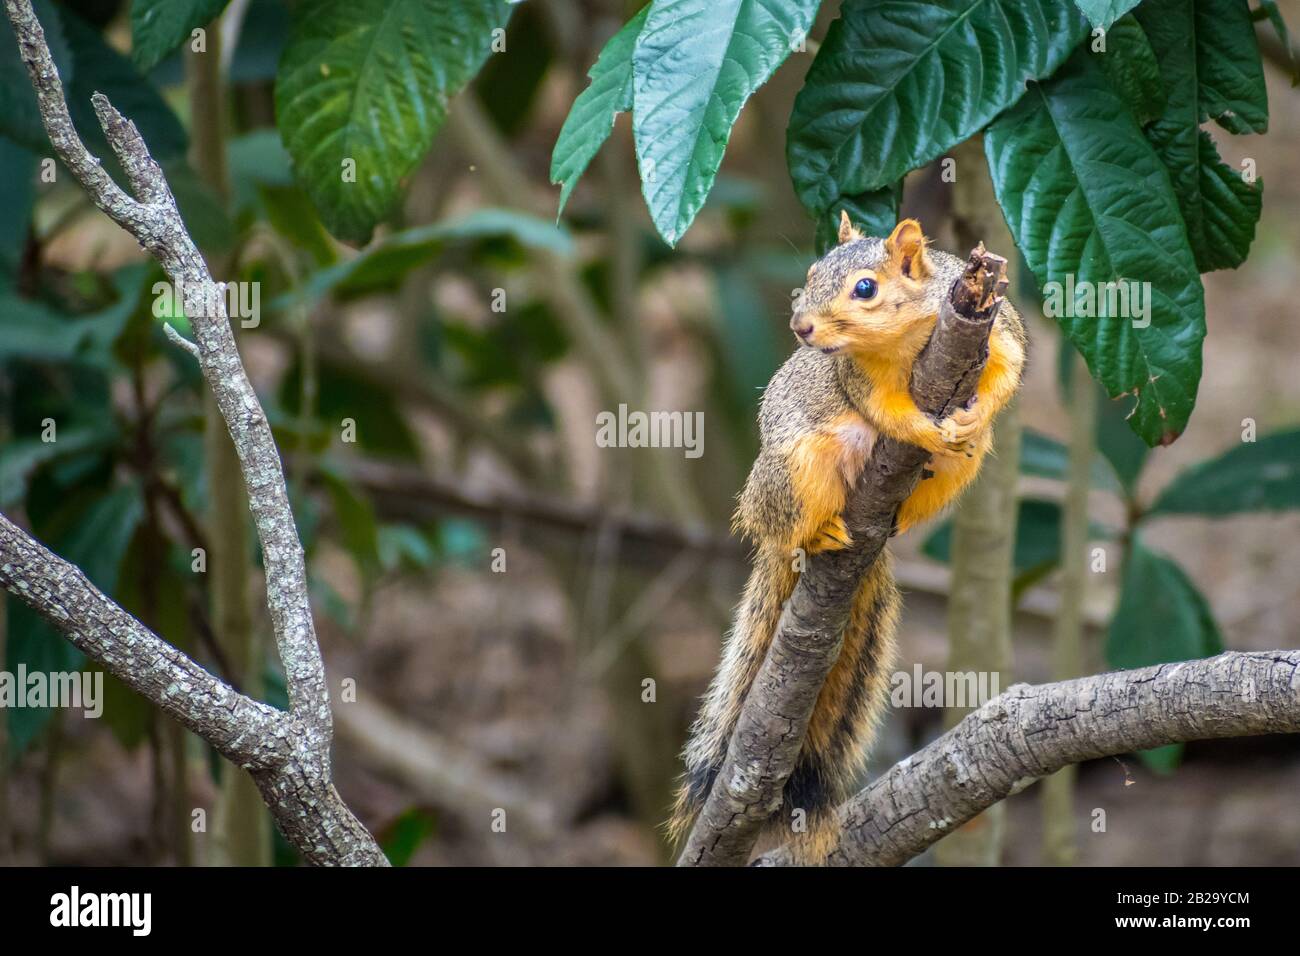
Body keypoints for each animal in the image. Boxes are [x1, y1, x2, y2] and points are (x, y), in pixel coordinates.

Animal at [670, 213, 1024, 863]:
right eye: (809, 273)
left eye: (866, 288)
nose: (801, 327)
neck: (907, 340)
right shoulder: (857, 378)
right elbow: (886, 412)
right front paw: (922, 430)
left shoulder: (1001, 330)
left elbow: (1009, 373)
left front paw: (971, 415)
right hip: (794, 470)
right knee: (792, 525)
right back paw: (821, 532)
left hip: (957, 472)